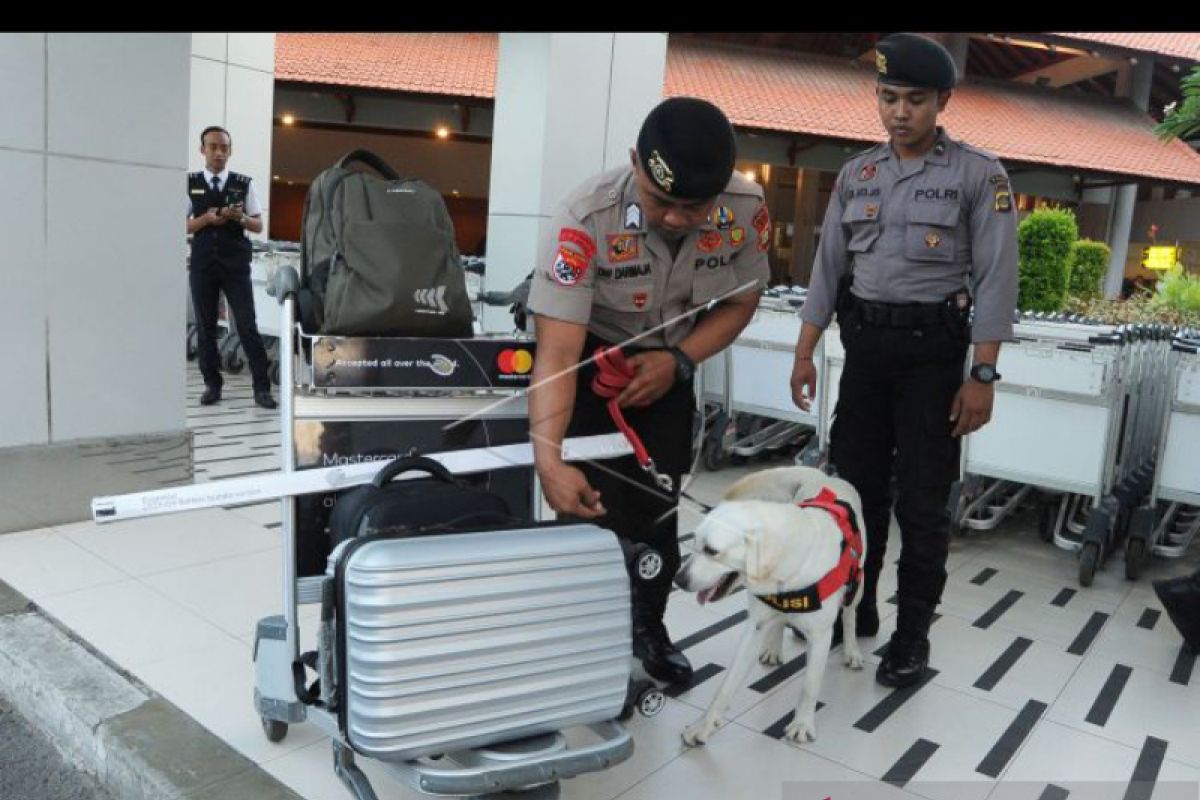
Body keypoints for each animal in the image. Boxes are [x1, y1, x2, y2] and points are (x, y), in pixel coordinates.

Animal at [676, 465, 864, 748]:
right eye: (695, 542)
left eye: (712, 551)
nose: (678, 580)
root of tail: (824, 476)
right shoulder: (755, 628)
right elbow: (726, 686)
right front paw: (704, 726)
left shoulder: (821, 636)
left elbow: (810, 685)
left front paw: (802, 724)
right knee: (779, 622)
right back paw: (774, 649)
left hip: (858, 582)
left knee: (851, 614)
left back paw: (852, 651)